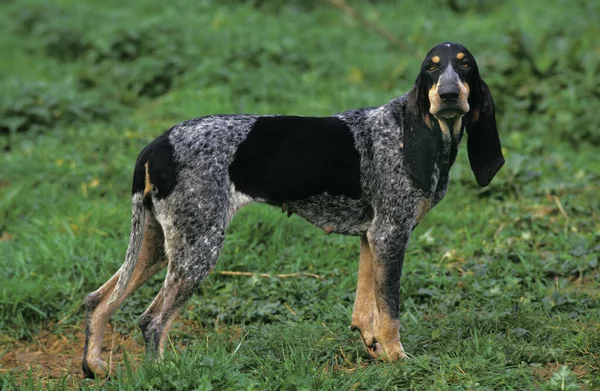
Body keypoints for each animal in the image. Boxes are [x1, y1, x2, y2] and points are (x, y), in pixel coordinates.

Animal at [81, 41, 502, 378]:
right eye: (432, 66)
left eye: (465, 65)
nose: (448, 94)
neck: (412, 133)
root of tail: (156, 145)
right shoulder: (391, 234)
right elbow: (390, 311)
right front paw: (398, 360)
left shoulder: (372, 237)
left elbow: (366, 309)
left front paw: (376, 351)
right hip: (197, 249)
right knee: (152, 321)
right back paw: (161, 372)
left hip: (158, 246)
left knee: (98, 301)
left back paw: (95, 366)